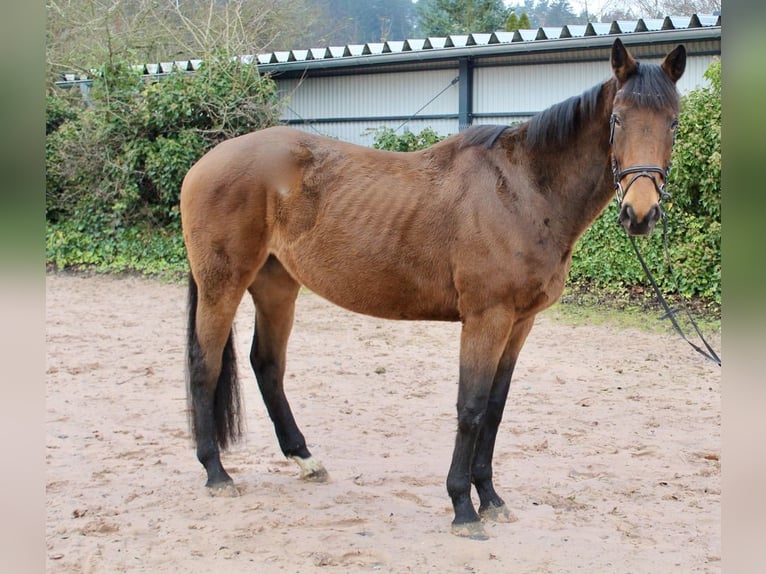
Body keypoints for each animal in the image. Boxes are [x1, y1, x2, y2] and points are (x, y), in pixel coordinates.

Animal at [182, 39, 688, 540]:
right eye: (617, 119)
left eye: (674, 122)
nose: (640, 213)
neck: (523, 190)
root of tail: (204, 163)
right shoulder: (487, 318)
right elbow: (471, 408)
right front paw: (463, 507)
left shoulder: (519, 323)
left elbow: (495, 410)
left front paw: (492, 499)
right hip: (222, 284)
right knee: (205, 365)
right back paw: (216, 473)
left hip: (277, 287)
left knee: (267, 365)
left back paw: (305, 460)